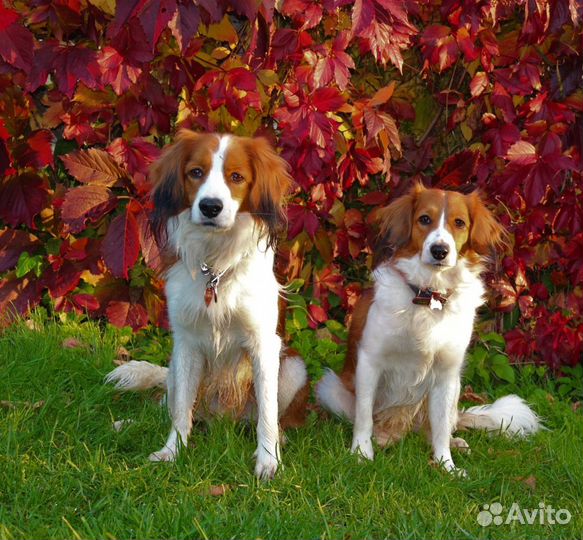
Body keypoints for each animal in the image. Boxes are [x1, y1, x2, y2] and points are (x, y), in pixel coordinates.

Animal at [105, 132, 310, 480]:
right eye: (196, 172)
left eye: (236, 177)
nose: (210, 207)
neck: (215, 265)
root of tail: (221, 419)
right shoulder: (186, 342)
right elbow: (179, 411)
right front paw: (172, 451)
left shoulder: (264, 344)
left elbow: (267, 415)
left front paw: (269, 461)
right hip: (175, 365)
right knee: (170, 406)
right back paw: (129, 424)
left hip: (294, 368)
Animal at [318, 181, 540, 472]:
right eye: (424, 219)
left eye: (459, 223)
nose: (440, 251)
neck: (428, 295)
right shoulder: (369, 362)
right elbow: (364, 417)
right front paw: (361, 453)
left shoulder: (446, 373)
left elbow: (441, 429)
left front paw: (447, 466)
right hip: (331, 387)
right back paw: (383, 437)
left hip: (455, 386)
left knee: (438, 426)